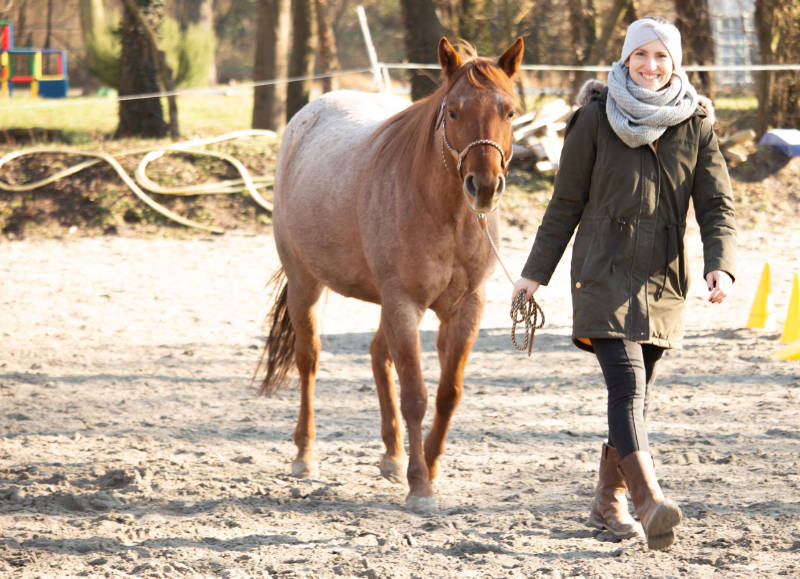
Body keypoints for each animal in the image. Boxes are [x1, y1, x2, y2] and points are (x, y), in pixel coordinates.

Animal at [256, 37, 524, 512]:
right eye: (454, 112)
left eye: (509, 111)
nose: (484, 187)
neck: (446, 214)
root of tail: (306, 116)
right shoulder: (404, 303)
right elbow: (415, 395)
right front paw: (420, 486)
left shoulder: (464, 307)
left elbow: (448, 394)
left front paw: (428, 466)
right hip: (306, 285)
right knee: (309, 360)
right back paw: (305, 456)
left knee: (378, 355)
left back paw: (393, 456)